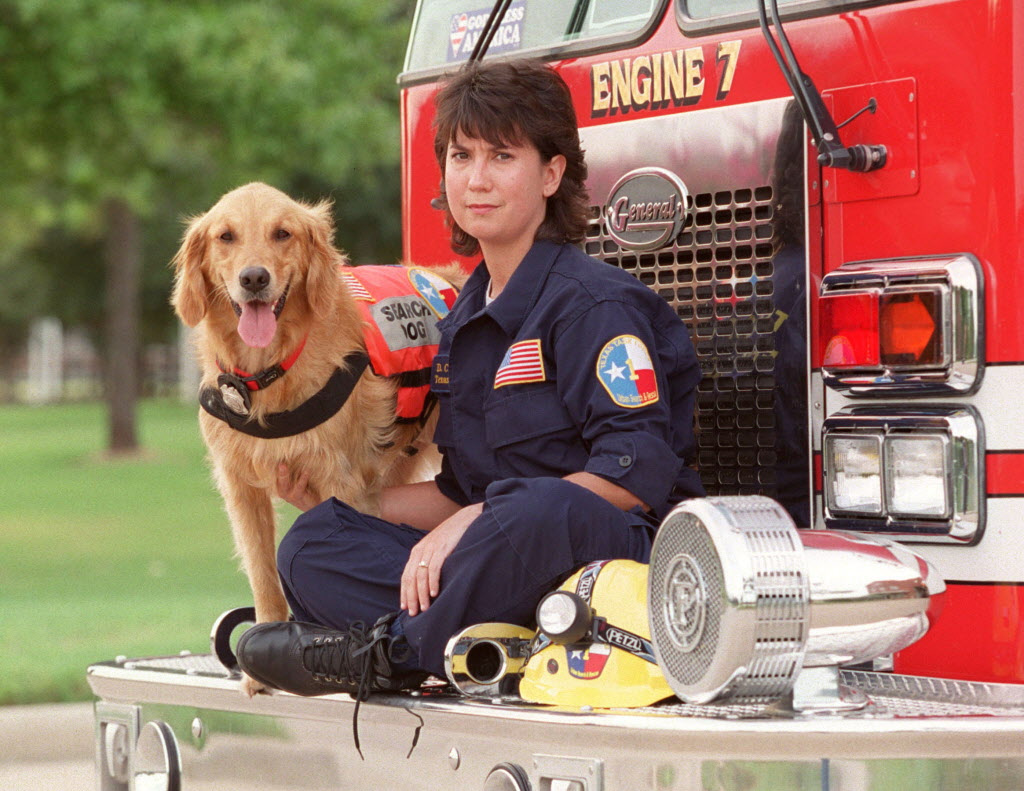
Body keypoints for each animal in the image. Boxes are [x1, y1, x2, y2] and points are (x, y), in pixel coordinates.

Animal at [173, 182, 464, 696]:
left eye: (282, 233)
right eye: (226, 236)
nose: (254, 278)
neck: (268, 373)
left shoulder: (340, 482)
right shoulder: (241, 488)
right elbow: (264, 576)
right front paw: (257, 669)